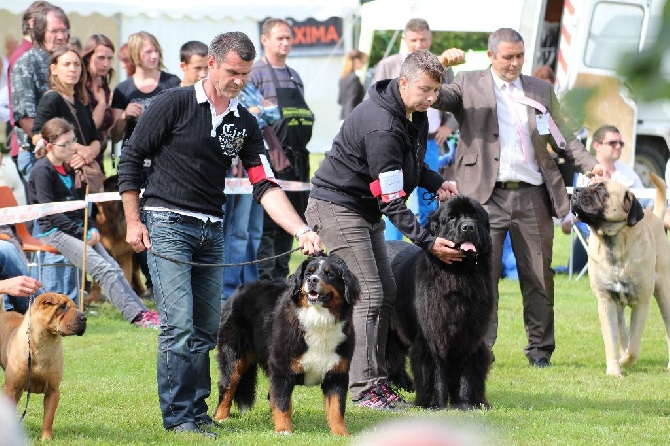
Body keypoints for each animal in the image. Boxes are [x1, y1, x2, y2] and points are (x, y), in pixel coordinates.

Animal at [0, 292, 86, 440]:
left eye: (75, 306)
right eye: (62, 307)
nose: (84, 317)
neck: (44, 343)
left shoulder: (53, 391)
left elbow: (49, 417)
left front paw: (46, 438)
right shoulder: (10, 387)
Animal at [215, 254, 362, 436]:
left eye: (330, 274)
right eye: (308, 273)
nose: (312, 280)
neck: (318, 320)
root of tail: (239, 290)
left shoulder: (337, 373)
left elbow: (336, 408)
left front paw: (341, 434)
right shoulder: (281, 369)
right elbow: (282, 403)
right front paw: (283, 431)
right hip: (233, 357)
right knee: (227, 386)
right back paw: (220, 418)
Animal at [388, 197, 494, 410]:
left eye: (475, 216)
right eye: (451, 218)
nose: (468, 227)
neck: (461, 275)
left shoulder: (471, 334)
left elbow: (469, 370)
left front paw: (467, 402)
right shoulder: (431, 335)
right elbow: (433, 369)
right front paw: (434, 403)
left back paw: (404, 385)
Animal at [572, 172, 670, 376]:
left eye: (601, 189)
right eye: (588, 184)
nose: (576, 190)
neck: (613, 243)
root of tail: (657, 219)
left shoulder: (641, 304)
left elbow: (634, 347)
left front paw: (625, 360)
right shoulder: (606, 302)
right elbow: (611, 339)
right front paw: (614, 370)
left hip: (665, 294)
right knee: (622, 331)